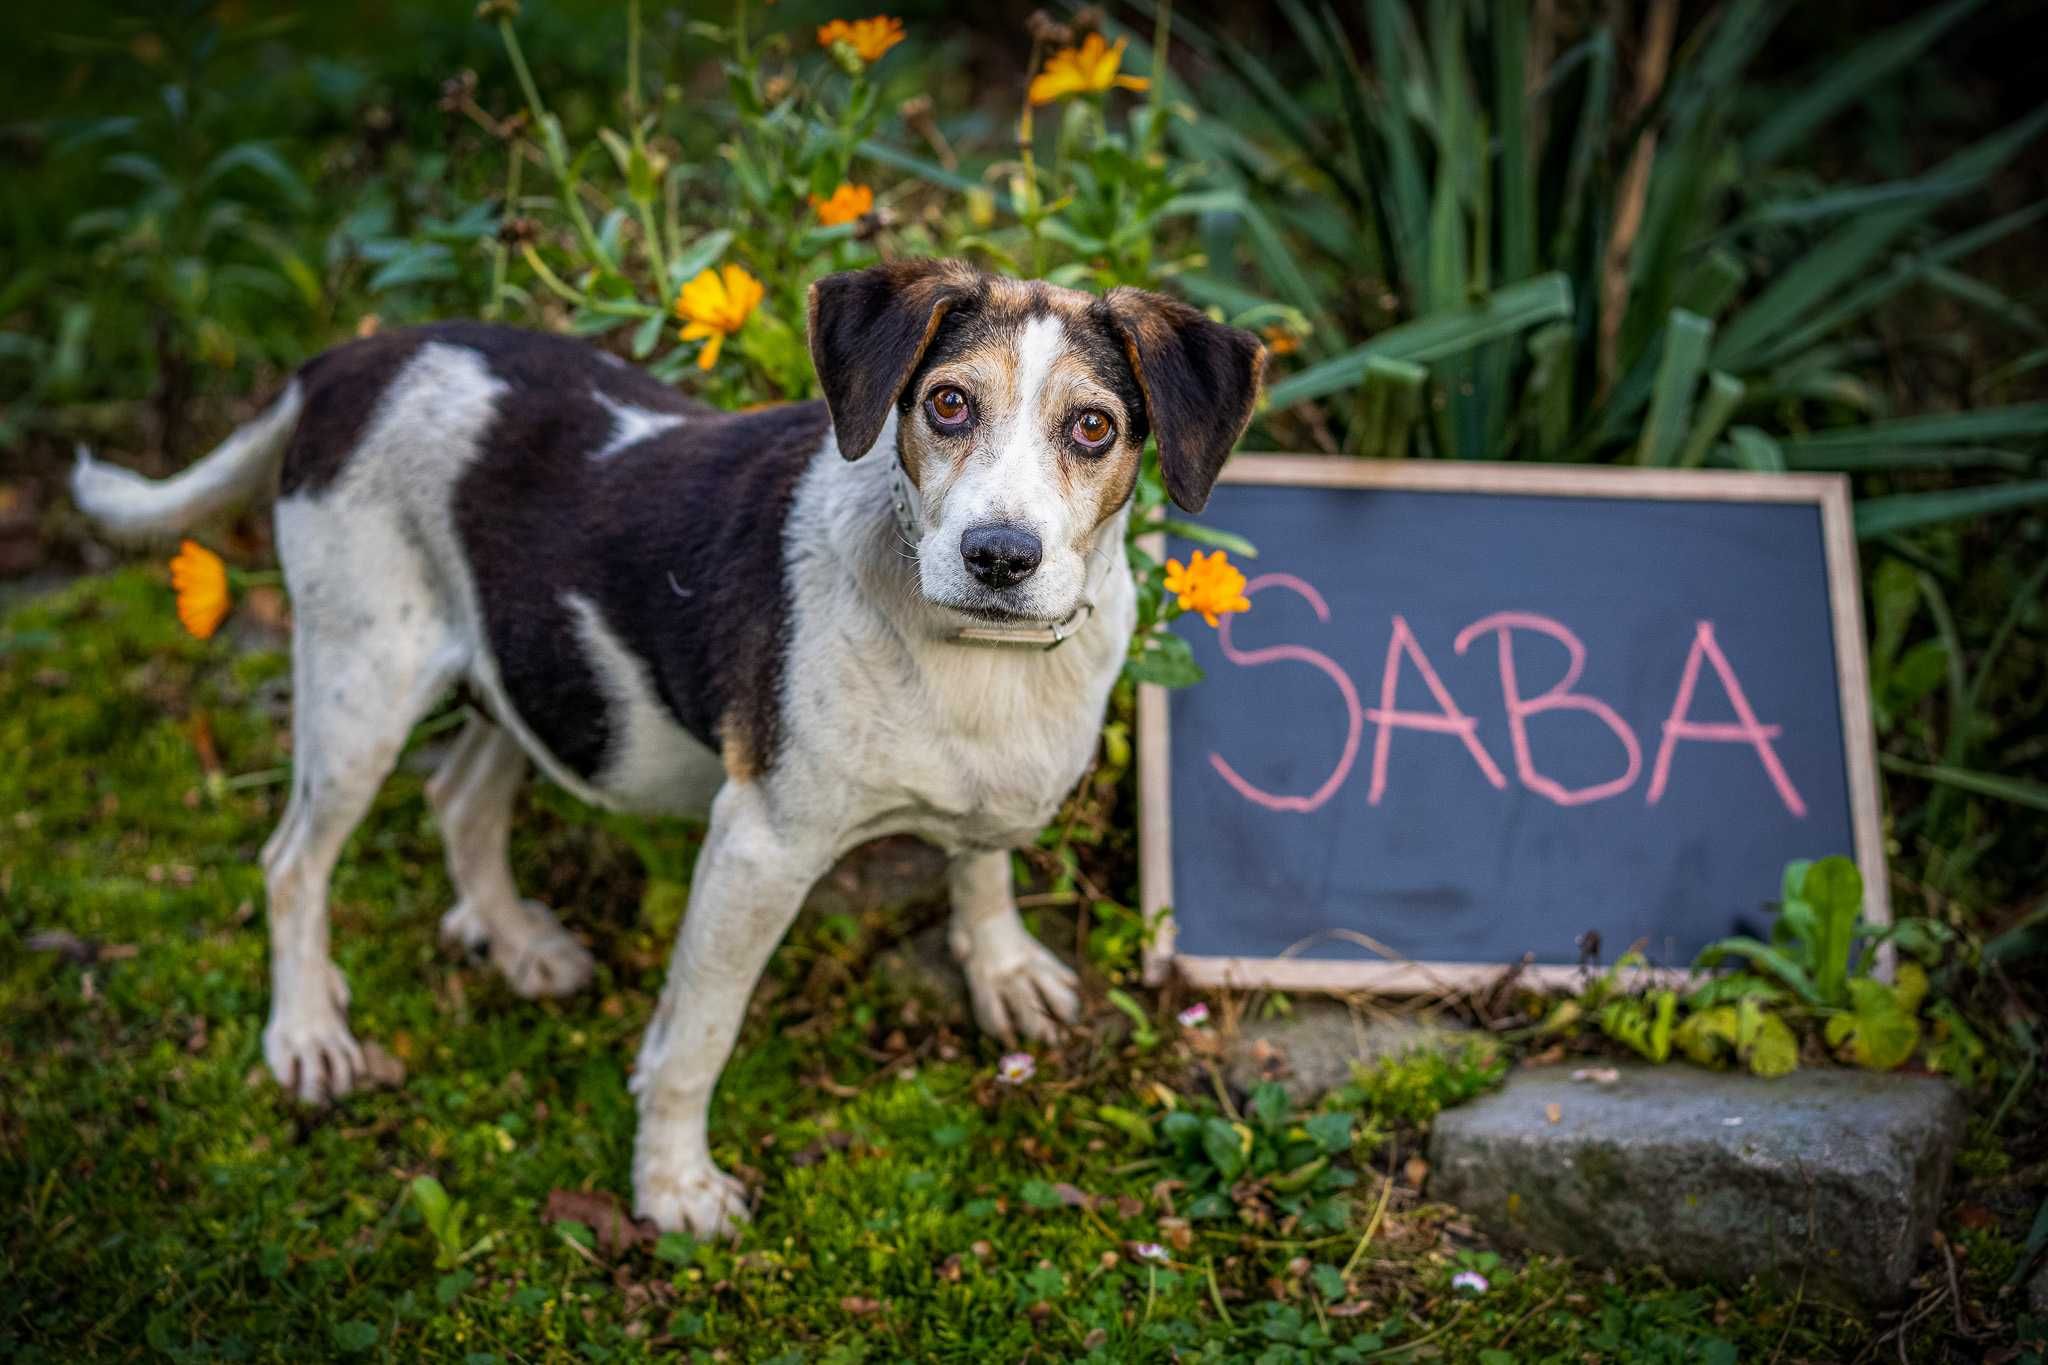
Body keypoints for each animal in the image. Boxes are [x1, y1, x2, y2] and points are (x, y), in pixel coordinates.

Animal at [72, 255, 1261, 1236]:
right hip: (362, 679)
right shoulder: (757, 848)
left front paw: (1002, 966)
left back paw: (515, 939)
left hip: (532, 665)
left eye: (1093, 428)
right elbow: (695, 1039)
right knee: (291, 864)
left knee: (459, 799)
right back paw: (309, 1031)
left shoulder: (993, 790)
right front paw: (673, 1187)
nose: (1000, 556)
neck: (975, 655)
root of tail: (347, 359)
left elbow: (981, 867)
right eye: (947, 403)